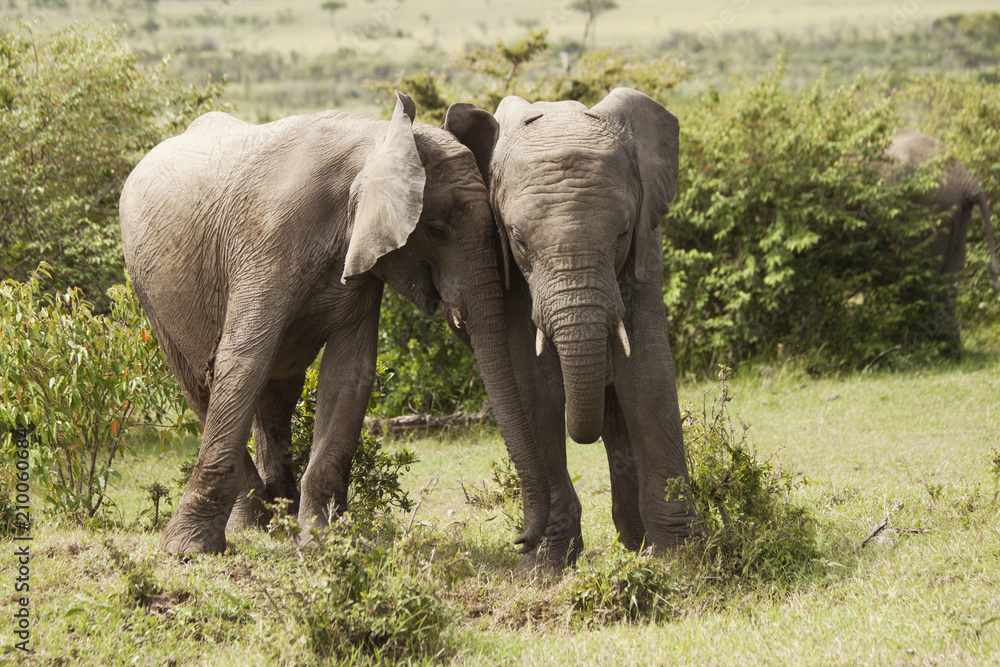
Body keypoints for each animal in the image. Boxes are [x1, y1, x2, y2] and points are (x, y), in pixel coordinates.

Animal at [119, 92, 550, 555]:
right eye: (436, 230)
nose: (521, 541)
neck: (379, 139)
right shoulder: (269, 240)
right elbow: (242, 360)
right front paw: (186, 551)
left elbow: (350, 373)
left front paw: (323, 542)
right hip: (149, 288)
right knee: (203, 382)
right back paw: (255, 522)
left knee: (277, 393)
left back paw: (280, 516)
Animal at [444, 88, 696, 569]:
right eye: (518, 240)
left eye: (623, 232)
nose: (519, 541)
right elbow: (534, 388)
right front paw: (545, 565)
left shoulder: (646, 248)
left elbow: (647, 375)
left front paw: (677, 559)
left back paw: (636, 542)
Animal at [886, 128, 1000, 349]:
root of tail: (966, 178)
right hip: (956, 213)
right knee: (950, 278)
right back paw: (949, 350)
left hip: (930, 212)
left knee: (928, 277)